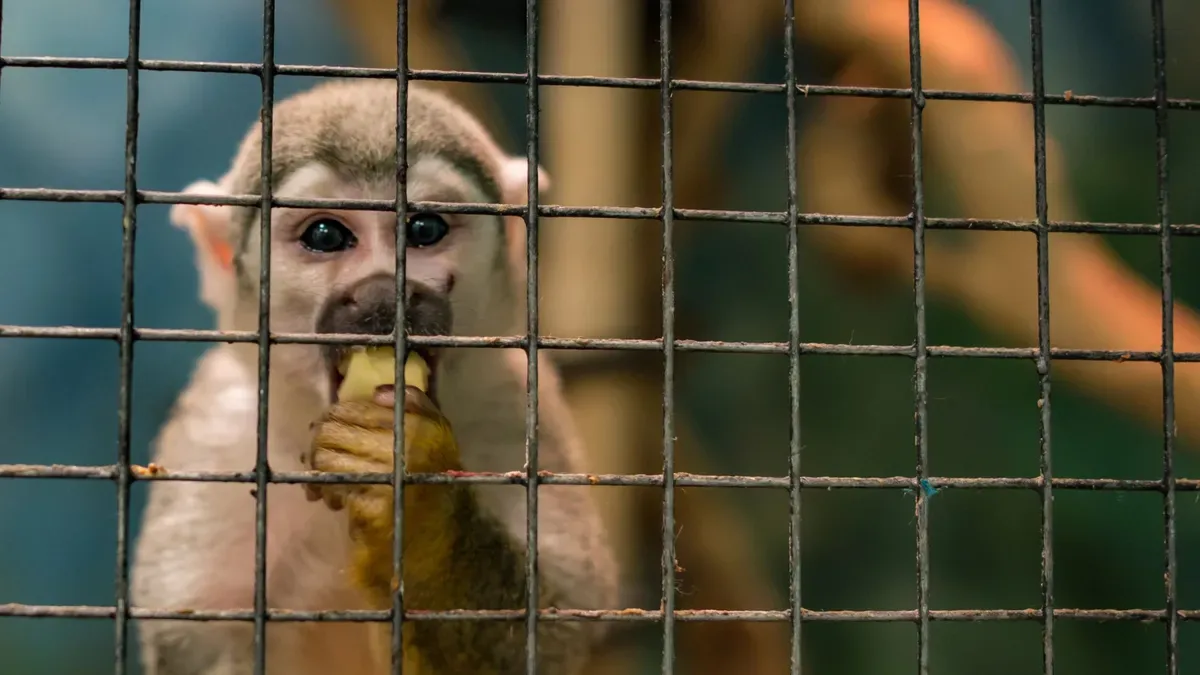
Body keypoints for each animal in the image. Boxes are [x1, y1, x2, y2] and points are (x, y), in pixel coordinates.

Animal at [130, 79, 618, 674]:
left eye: (424, 229)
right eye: (326, 235)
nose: (387, 293)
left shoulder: (514, 403)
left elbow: (556, 629)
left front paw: (418, 505)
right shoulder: (219, 435)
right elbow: (196, 644)